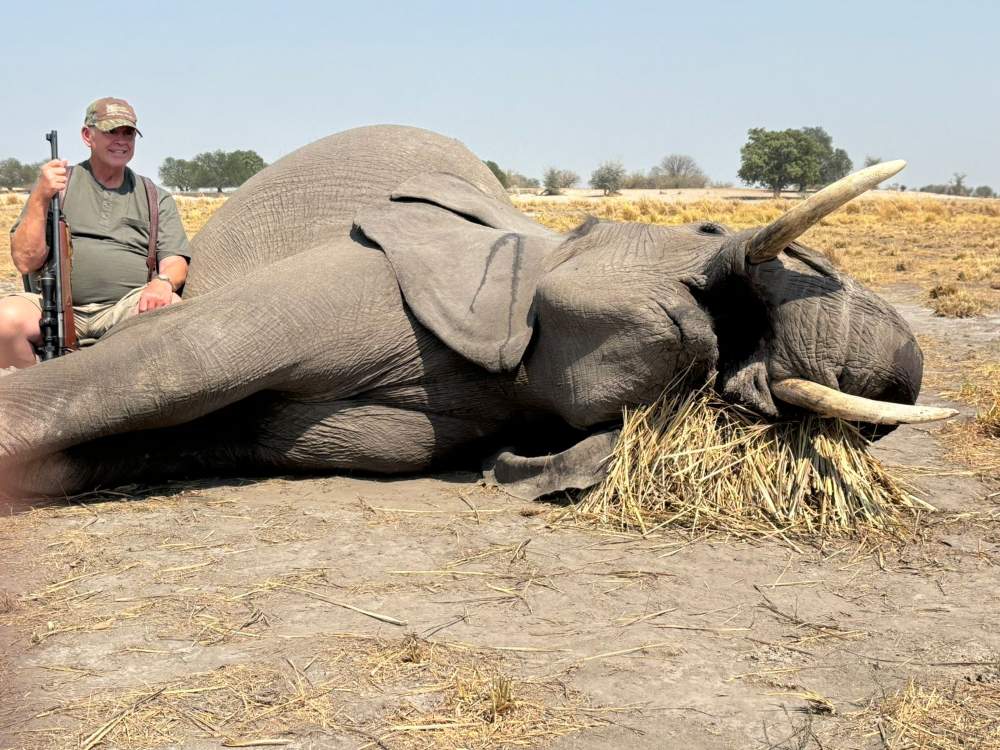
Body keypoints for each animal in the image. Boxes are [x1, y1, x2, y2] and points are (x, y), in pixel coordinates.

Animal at [0, 125, 954, 500]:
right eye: (711, 230)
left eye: (742, 404)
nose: (897, 374)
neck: (537, 243)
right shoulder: (380, 271)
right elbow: (184, 361)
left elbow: (223, 431)